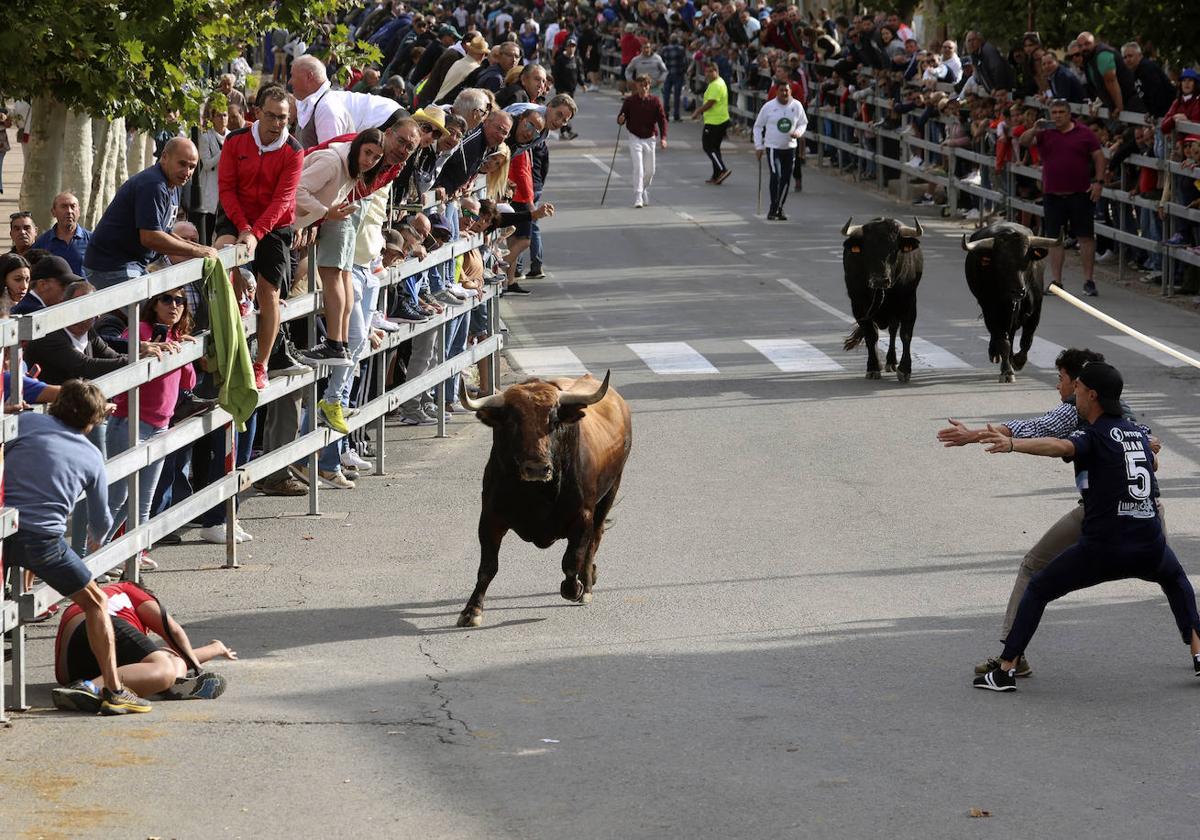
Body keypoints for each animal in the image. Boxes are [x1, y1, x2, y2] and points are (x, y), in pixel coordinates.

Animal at [453, 369, 633, 628]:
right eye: (513, 421)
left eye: (555, 421)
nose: (537, 468)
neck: (537, 494)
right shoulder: (489, 518)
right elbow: (487, 567)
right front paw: (472, 610)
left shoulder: (582, 517)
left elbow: (571, 560)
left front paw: (574, 588)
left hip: (609, 492)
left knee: (594, 539)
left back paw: (587, 584)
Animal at [844, 216, 926, 381]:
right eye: (866, 250)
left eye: (894, 250)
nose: (879, 280)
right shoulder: (858, 306)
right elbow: (871, 335)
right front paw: (873, 368)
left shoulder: (909, 302)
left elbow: (905, 334)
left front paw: (905, 369)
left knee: (893, 331)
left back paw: (891, 361)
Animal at [960, 222, 1056, 381]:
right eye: (1001, 264)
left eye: (1027, 261)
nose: (1018, 291)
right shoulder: (991, 312)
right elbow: (1003, 341)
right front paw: (1007, 371)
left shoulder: (1035, 312)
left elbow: (1026, 340)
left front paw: (1018, 361)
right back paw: (995, 353)